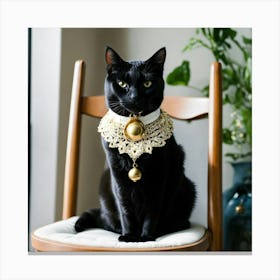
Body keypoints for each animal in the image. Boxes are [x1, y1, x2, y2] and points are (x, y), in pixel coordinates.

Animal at [75, 47, 197, 242]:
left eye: (147, 84)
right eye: (122, 83)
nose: (134, 96)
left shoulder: (159, 175)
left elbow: (152, 210)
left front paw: (146, 237)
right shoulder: (118, 177)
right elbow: (126, 209)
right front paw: (129, 236)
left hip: (187, 188)